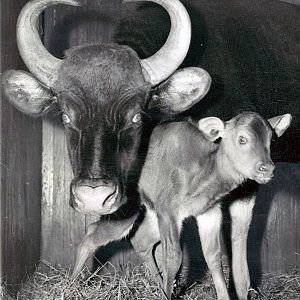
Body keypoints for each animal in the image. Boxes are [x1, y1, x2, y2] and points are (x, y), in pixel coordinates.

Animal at [70, 111, 290, 298]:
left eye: (271, 140)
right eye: (242, 139)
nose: (267, 169)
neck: (203, 173)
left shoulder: (209, 211)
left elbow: (213, 256)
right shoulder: (168, 209)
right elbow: (174, 256)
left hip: (151, 210)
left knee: (140, 240)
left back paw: (157, 285)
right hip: (124, 207)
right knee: (92, 234)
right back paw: (71, 284)